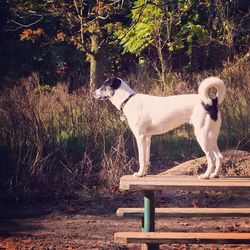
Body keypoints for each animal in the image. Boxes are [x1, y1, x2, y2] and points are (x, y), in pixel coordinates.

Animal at [93, 77, 227, 179]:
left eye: (104, 86)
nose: (93, 93)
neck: (128, 99)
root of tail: (211, 101)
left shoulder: (140, 137)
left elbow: (141, 158)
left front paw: (139, 174)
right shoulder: (147, 138)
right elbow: (146, 159)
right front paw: (144, 174)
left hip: (202, 136)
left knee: (211, 158)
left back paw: (206, 175)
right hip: (211, 137)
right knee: (219, 156)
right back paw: (214, 175)